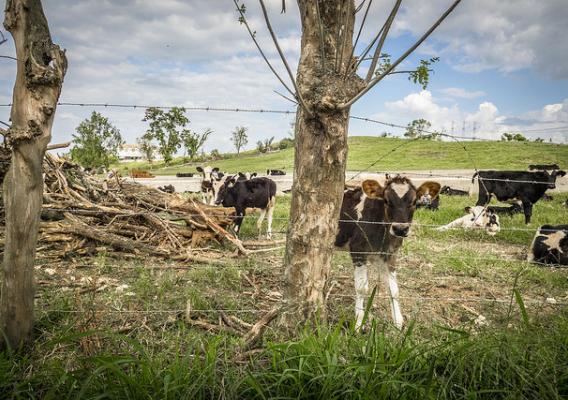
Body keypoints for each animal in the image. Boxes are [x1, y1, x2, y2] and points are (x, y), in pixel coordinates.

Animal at [332, 175, 434, 328]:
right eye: (386, 200)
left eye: (414, 201)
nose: (400, 229)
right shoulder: (358, 251)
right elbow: (361, 288)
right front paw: (359, 323)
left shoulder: (389, 254)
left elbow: (394, 289)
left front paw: (398, 321)